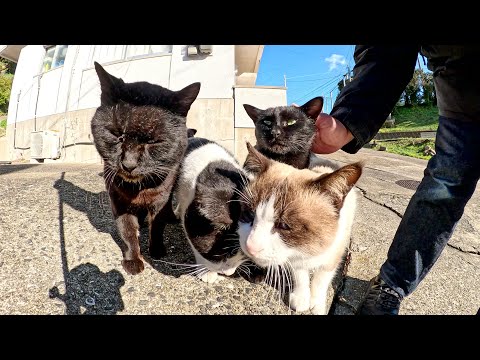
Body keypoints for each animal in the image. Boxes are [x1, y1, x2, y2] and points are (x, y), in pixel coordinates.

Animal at [90, 62, 201, 276]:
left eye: (153, 141)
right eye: (117, 135)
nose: (129, 164)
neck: (138, 190)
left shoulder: (160, 200)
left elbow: (157, 226)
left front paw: (156, 250)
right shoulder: (118, 202)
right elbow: (127, 232)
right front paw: (133, 260)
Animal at [238, 142, 362, 314]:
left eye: (284, 225)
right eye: (249, 214)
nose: (250, 246)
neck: (310, 249)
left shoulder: (334, 255)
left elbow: (320, 280)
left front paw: (316, 305)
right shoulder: (295, 258)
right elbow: (300, 276)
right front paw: (302, 299)